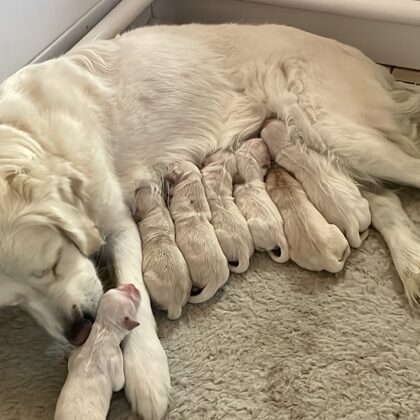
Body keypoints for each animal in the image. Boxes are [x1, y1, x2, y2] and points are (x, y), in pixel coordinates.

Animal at [55, 282, 140, 420]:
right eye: (133, 299)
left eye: (118, 288)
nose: (131, 285)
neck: (104, 330)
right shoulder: (116, 359)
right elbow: (120, 383)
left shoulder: (78, 352)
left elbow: (71, 358)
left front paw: (67, 355)